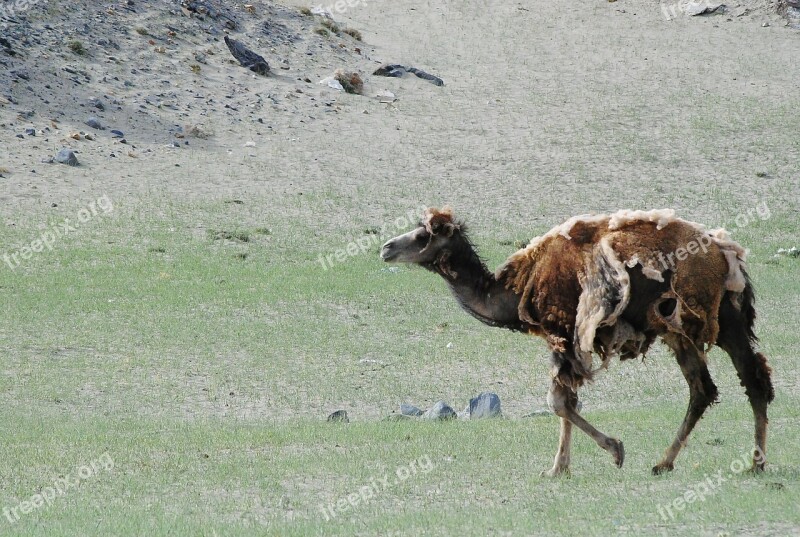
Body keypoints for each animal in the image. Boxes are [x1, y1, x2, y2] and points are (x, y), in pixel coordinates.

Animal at [382, 207, 776, 476]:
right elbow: (566, 401)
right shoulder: (563, 340)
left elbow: (558, 402)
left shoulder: (562, 332)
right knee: (702, 389)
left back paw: (755, 463)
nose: (386, 247)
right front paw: (560, 468)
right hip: (675, 330)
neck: (516, 288)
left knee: (752, 379)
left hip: (723, 323)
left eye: (422, 236)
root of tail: (729, 257)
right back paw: (663, 463)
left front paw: (611, 451)